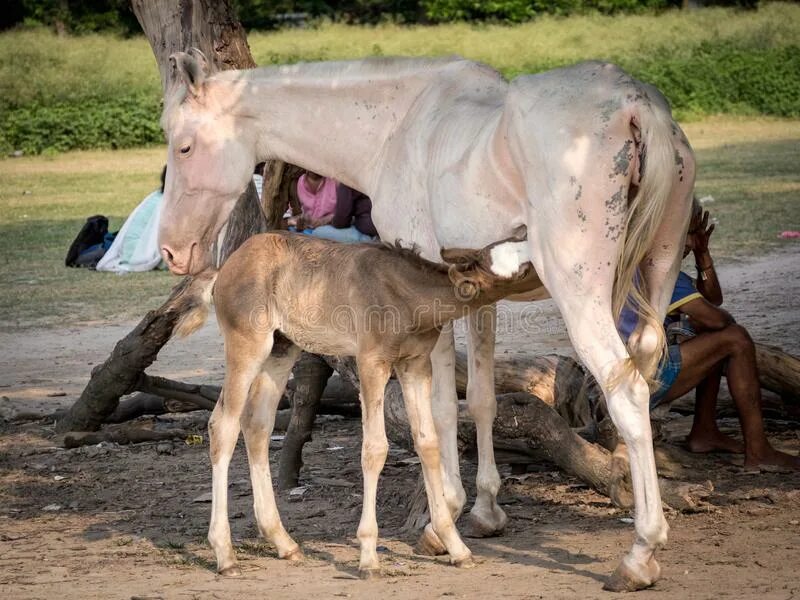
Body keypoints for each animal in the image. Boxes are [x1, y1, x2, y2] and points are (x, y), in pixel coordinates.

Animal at [178, 230, 536, 576]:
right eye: (521, 268)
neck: (406, 293)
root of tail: (224, 268)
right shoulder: (371, 362)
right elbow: (374, 449)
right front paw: (368, 557)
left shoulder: (415, 364)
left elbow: (428, 444)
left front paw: (455, 547)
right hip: (248, 343)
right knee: (223, 425)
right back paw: (225, 555)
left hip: (282, 347)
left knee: (257, 425)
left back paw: (283, 542)